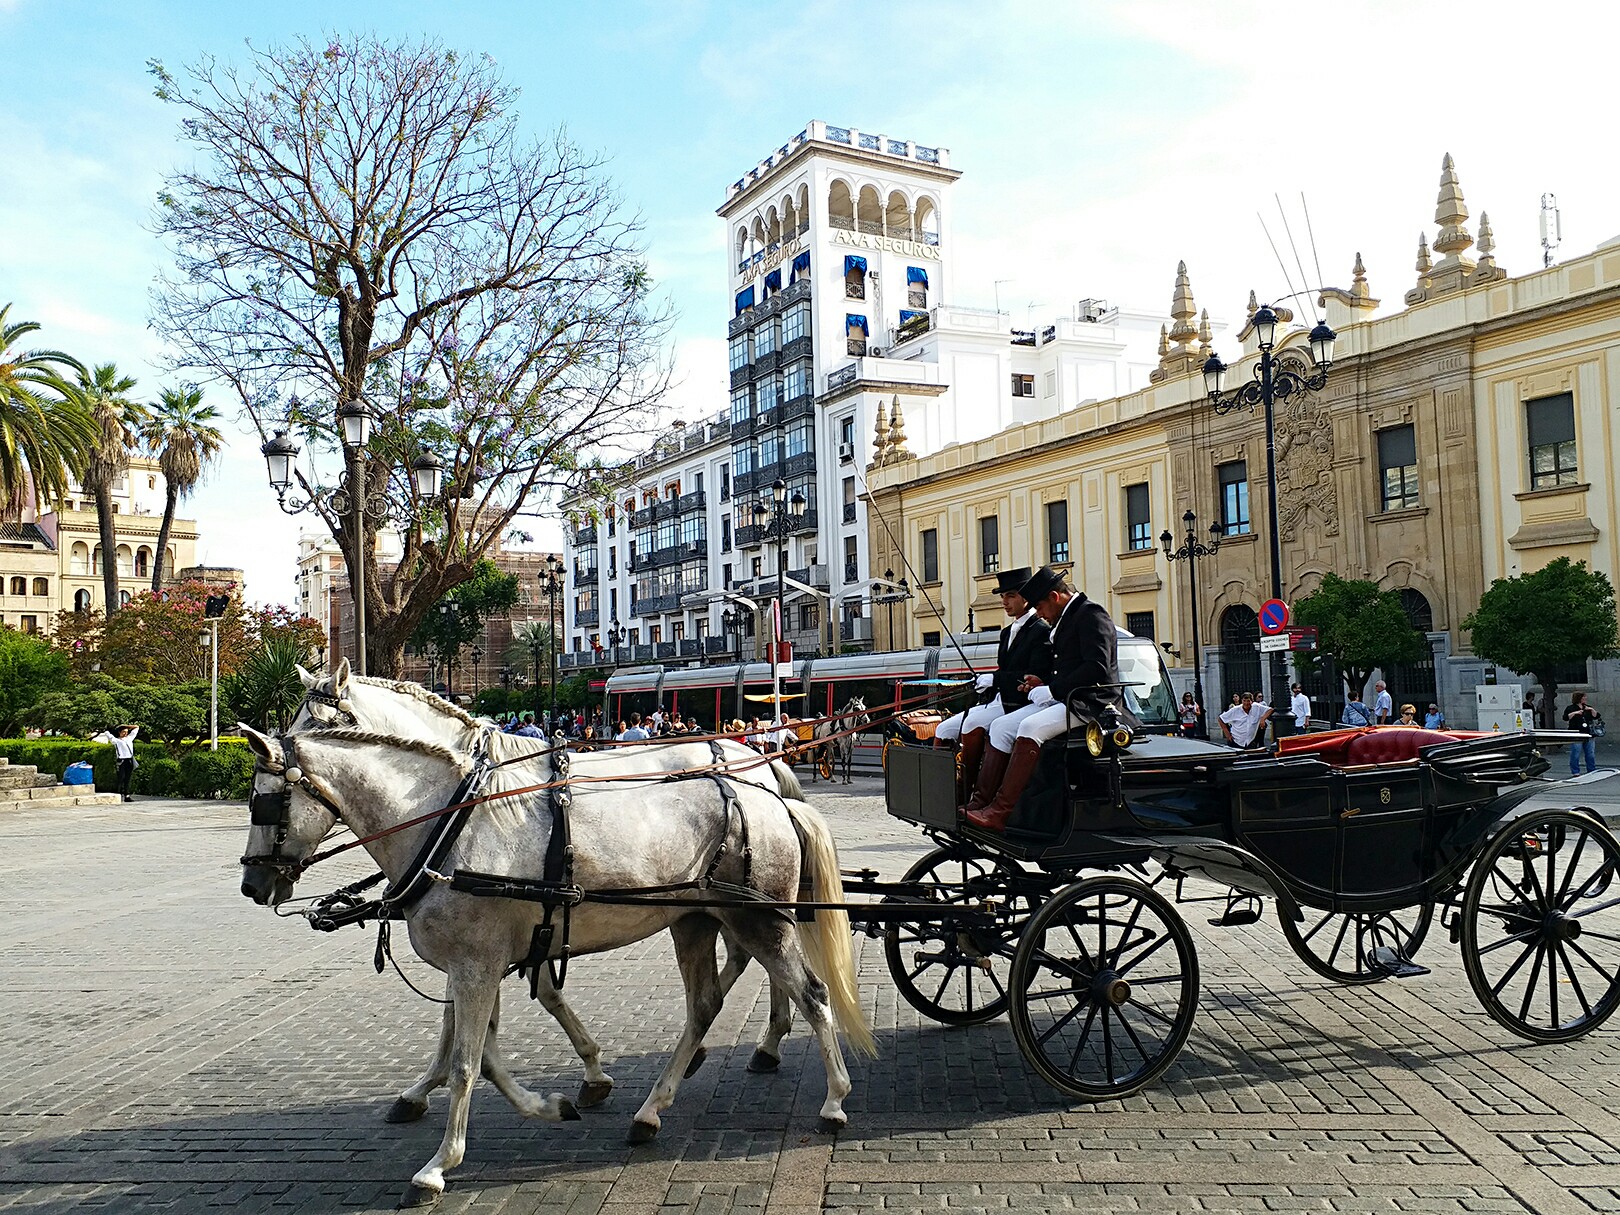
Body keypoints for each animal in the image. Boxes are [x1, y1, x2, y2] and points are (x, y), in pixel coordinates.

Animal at [238, 722, 874, 1211]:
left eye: (263, 802)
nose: (251, 885)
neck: (448, 823)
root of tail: (774, 799)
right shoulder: (486, 964)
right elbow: (485, 1056)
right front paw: (551, 1103)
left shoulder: (476, 966)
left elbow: (468, 1063)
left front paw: (437, 1166)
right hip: (695, 921)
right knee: (705, 1005)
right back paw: (653, 1109)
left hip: (760, 923)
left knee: (812, 995)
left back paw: (835, 1100)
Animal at [289, 667, 803, 1082]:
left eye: (320, 722)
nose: (283, 749)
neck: (473, 785)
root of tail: (758, 759)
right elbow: (528, 992)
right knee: (750, 953)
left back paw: (762, 1041)